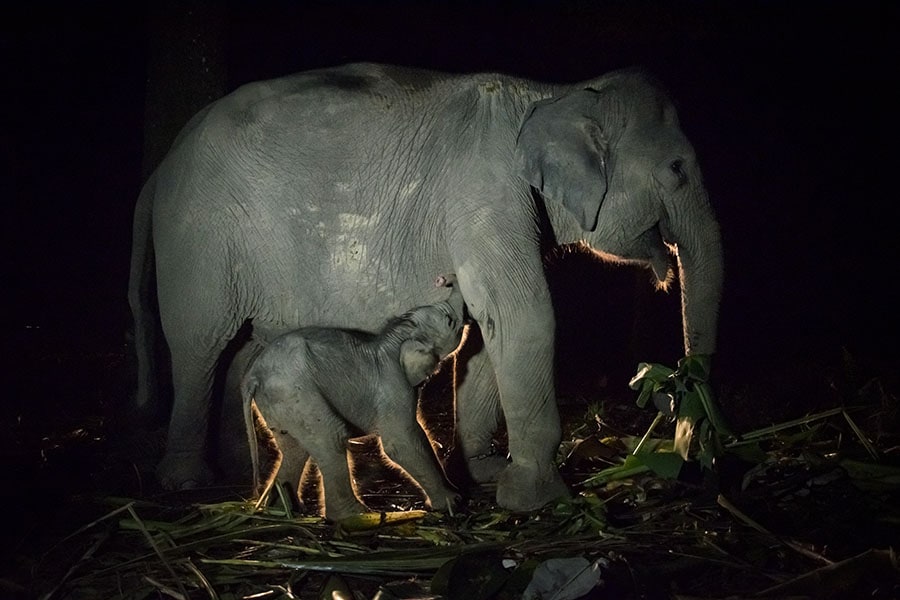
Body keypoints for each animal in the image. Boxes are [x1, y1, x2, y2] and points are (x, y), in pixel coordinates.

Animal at [243, 274, 468, 516]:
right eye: (449, 321)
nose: (444, 279)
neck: (393, 339)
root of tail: (253, 377)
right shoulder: (393, 386)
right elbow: (401, 441)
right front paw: (453, 501)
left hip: (280, 406)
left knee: (294, 449)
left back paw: (285, 510)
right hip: (296, 396)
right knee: (331, 437)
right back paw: (359, 515)